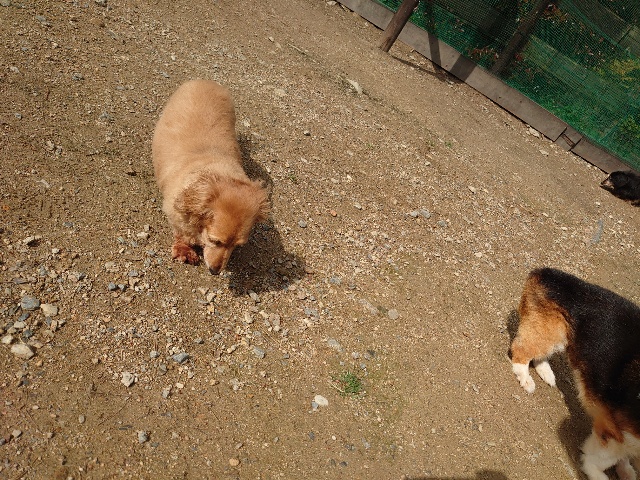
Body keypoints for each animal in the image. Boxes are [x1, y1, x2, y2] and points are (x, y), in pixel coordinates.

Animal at [152, 80, 269, 274]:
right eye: (215, 240)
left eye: (237, 246)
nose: (215, 271)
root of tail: (204, 81)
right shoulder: (174, 212)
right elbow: (182, 232)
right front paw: (184, 250)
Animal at [510, 267, 640, 480]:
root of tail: (543, 272)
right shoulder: (616, 432)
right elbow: (600, 459)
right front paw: (597, 473)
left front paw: (626, 469)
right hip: (552, 333)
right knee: (521, 351)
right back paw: (525, 378)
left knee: (538, 356)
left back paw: (547, 373)